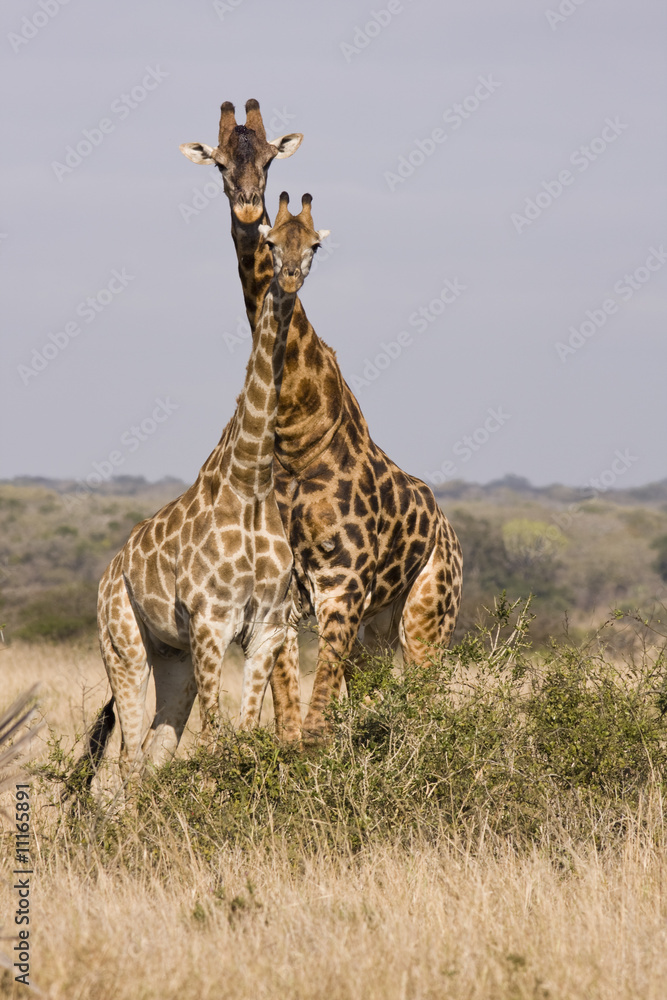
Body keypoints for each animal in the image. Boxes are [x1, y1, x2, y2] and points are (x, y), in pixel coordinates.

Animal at [86, 192, 329, 781]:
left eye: (313, 245)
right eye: (271, 242)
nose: (289, 277)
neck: (251, 482)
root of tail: (107, 574)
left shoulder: (266, 628)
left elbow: (243, 736)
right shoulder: (211, 624)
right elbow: (220, 742)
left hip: (173, 659)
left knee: (154, 751)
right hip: (124, 647)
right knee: (126, 759)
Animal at [182, 100, 463, 744]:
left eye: (268, 159)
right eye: (218, 163)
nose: (248, 211)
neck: (295, 431)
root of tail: (449, 530)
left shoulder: (343, 584)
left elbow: (313, 728)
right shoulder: (283, 595)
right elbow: (290, 721)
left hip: (427, 615)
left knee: (427, 699)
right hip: (380, 627)